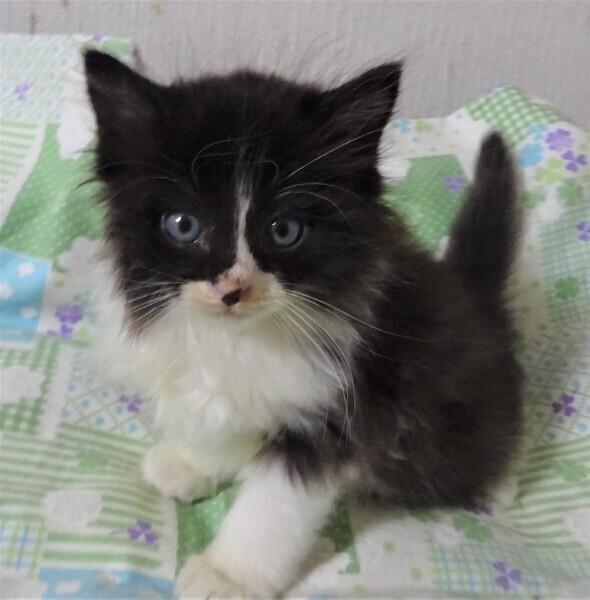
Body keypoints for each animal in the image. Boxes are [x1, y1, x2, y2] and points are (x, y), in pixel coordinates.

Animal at [85, 49, 523, 598]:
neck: (241, 337)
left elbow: (274, 506)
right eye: (183, 225)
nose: (232, 290)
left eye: (284, 230)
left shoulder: (343, 407)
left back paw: (495, 483)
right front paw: (193, 463)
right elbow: (220, 416)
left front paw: (228, 574)